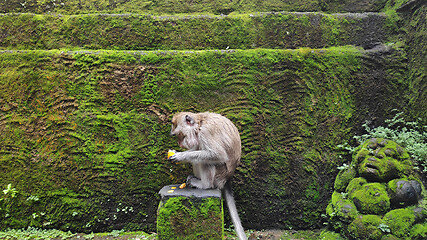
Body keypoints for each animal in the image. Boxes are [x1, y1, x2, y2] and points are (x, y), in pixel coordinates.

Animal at [169, 111, 246, 239]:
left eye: (179, 135)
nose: (179, 144)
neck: (200, 124)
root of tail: (227, 178)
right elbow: (195, 148)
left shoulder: (205, 133)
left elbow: (217, 154)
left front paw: (180, 156)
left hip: (219, 174)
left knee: (206, 161)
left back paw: (204, 185)